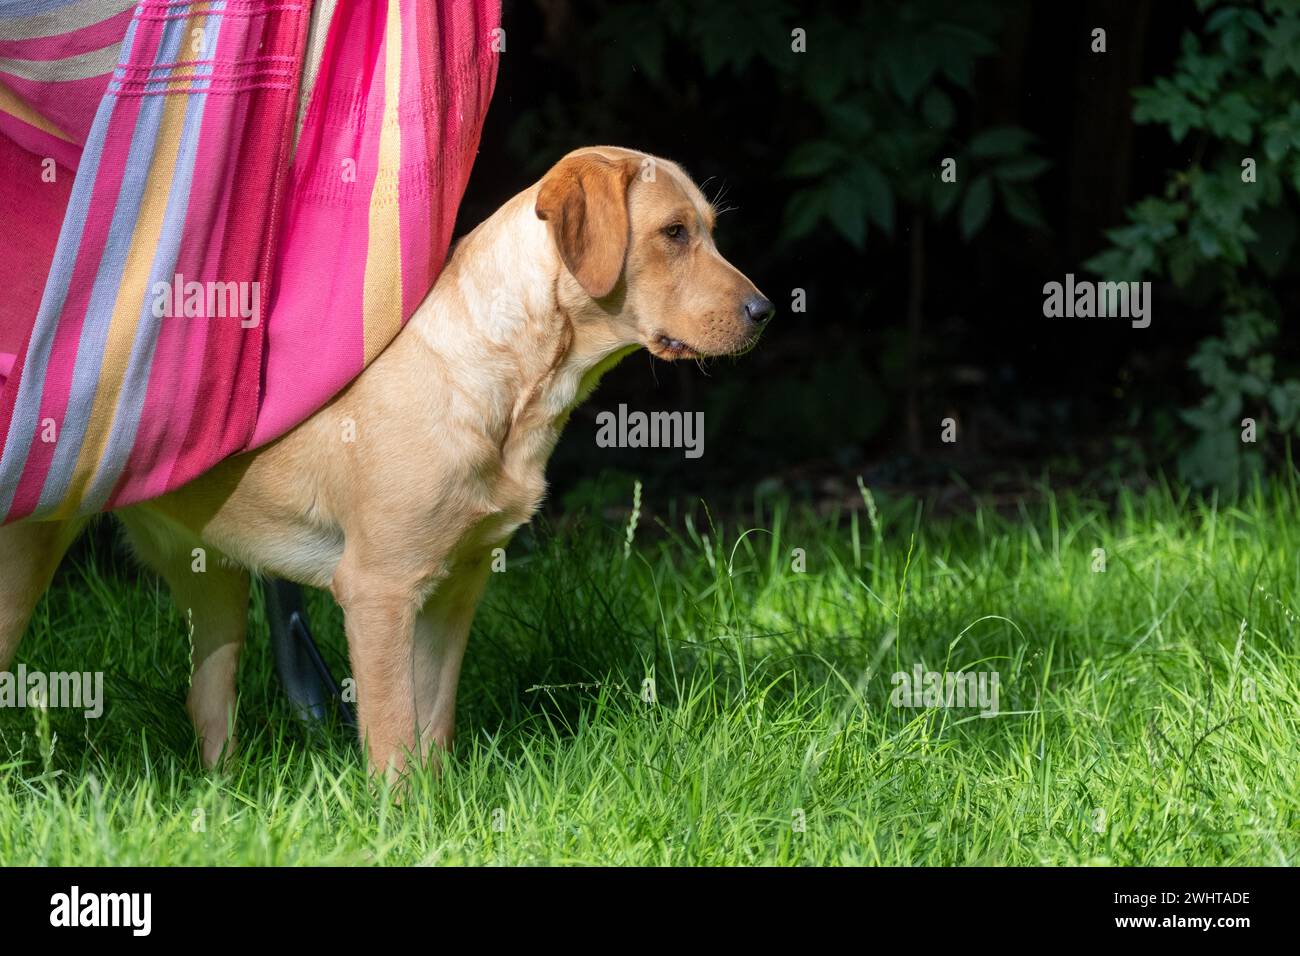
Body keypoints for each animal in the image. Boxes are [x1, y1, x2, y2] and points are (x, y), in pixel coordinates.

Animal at [0, 147, 769, 780]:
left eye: (708, 227)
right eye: (674, 233)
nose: (766, 310)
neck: (513, 388)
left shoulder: (454, 591)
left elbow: (434, 726)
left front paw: (438, 810)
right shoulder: (378, 592)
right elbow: (394, 735)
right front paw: (399, 821)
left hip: (214, 581)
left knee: (207, 705)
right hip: (22, 576)